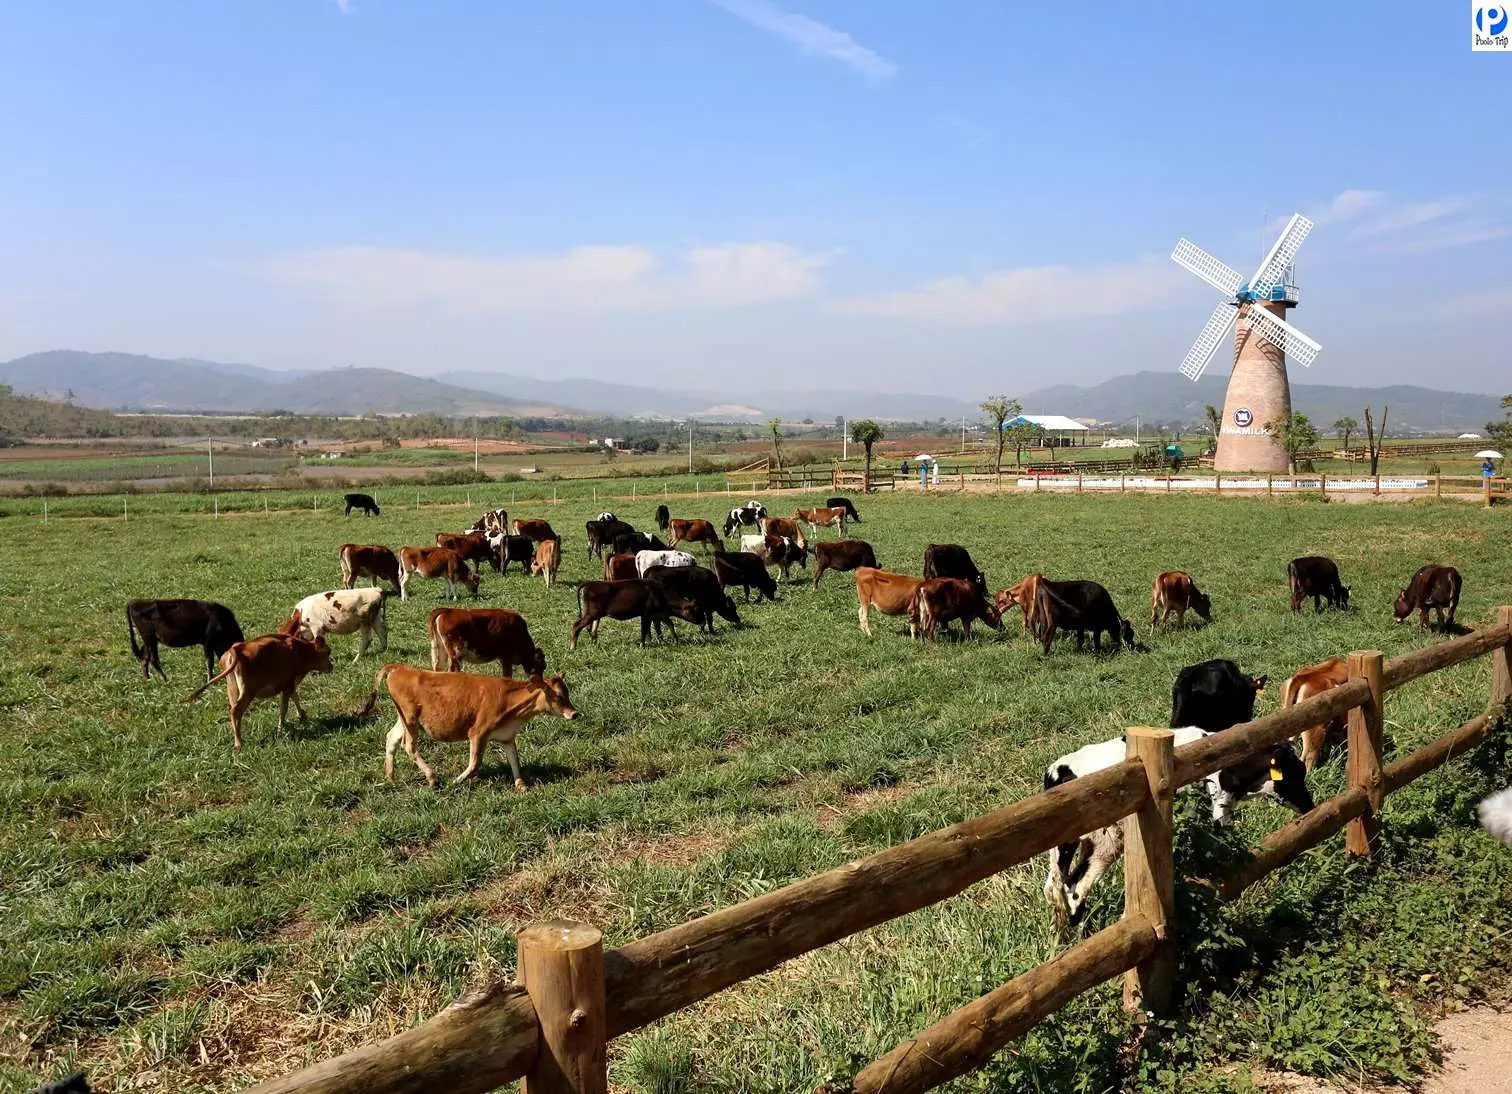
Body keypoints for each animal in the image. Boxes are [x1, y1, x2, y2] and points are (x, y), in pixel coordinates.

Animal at [185, 622, 334, 752]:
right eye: (328, 652)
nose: (331, 666)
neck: (300, 651)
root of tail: (236, 649)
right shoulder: (288, 684)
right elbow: (284, 708)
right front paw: (281, 727)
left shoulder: (289, 684)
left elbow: (295, 697)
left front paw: (302, 715)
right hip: (248, 691)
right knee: (235, 711)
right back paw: (239, 743)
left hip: (232, 688)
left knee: (233, 712)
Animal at [365, 658, 577, 785]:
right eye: (558, 696)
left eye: (567, 693)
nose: (574, 713)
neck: (510, 700)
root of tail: (399, 668)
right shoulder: (478, 732)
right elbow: (475, 764)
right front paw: (456, 781)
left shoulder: (507, 737)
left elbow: (515, 760)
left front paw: (521, 785)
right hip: (409, 719)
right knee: (408, 745)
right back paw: (432, 778)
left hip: (404, 720)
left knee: (391, 738)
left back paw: (390, 776)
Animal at [571, 577, 701, 646]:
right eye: (695, 609)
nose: (702, 620)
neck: (661, 594)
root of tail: (590, 583)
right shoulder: (646, 614)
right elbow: (644, 630)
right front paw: (643, 645)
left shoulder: (658, 614)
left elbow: (668, 625)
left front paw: (674, 640)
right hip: (592, 613)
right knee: (577, 625)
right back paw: (573, 647)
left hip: (595, 614)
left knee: (591, 628)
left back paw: (595, 643)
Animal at [1040, 731, 1312, 924]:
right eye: (1296, 773)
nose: (1310, 806)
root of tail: (1059, 770)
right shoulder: (1216, 815)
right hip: (1100, 841)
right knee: (1071, 888)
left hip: (1085, 845)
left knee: (1062, 888)